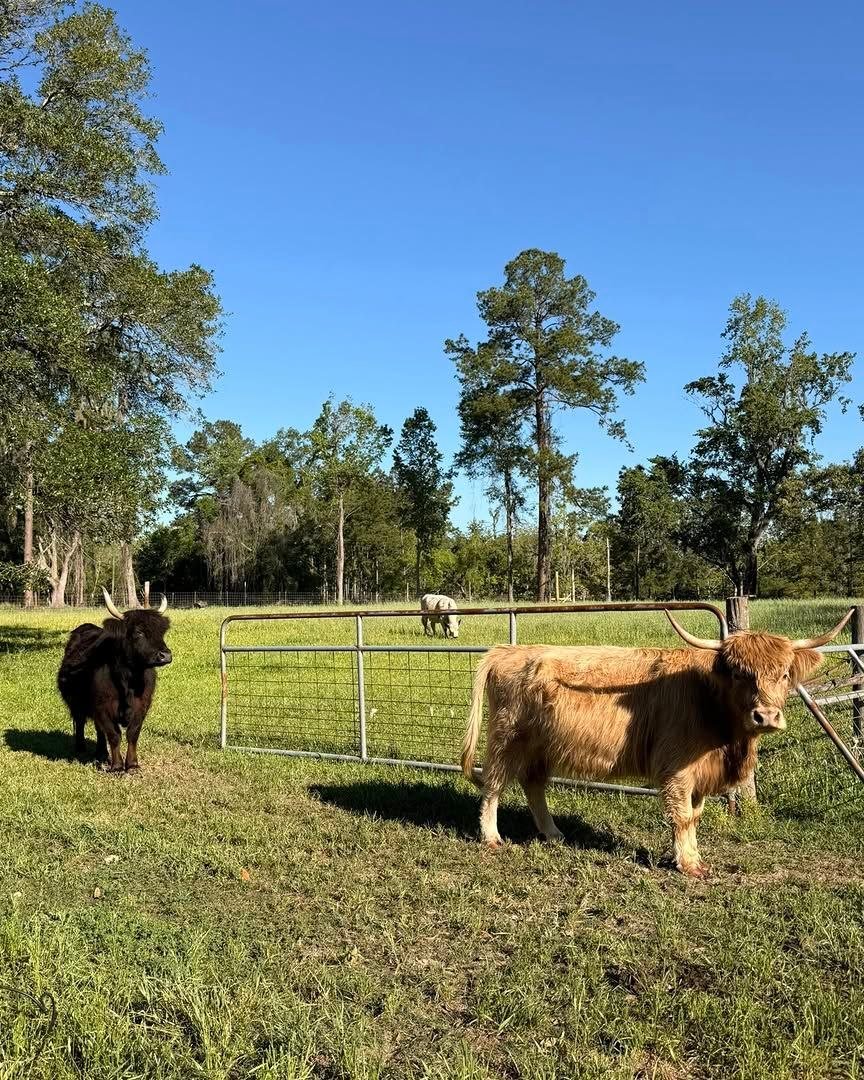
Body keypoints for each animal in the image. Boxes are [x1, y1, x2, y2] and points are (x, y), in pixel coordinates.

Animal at [57, 589, 172, 772]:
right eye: (138, 632)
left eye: (161, 632)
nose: (165, 655)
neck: (128, 681)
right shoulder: (103, 707)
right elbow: (114, 735)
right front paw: (117, 766)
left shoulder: (142, 706)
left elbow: (132, 734)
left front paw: (132, 764)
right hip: (76, 703)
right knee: (81, 722)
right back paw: (81, 748)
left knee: (98, 729)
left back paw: (101, 752)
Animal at [460, 609, 853, 876]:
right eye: (741, 674)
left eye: (785, 675)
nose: (766, 717)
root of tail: (506, 651)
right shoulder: (676, 767)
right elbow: (682, 815)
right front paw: (688, 864)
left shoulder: (699, 775)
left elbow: (695, 815)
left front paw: (691, 857)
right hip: (507, 737)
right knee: (494, 783)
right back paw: (492, 836)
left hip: (540, 744)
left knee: (533, 783)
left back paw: (554, 833)